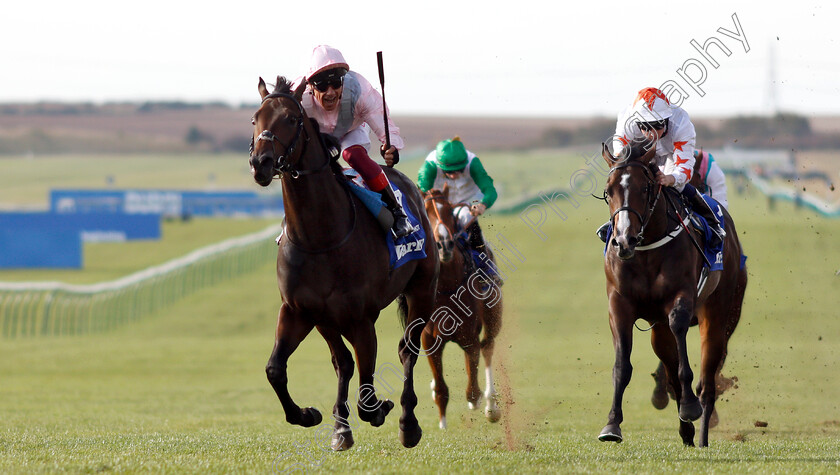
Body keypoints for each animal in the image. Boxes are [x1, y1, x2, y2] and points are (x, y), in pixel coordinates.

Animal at [249, 76, 440, 452]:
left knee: (408, 350)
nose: (260, 162)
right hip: (329, 320)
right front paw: (311, 416)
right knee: (345, 363)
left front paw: (380, 409)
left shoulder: (360, 317)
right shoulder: (301, 311)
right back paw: (342, 424)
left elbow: (367, 391)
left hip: (422, 291)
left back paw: (408, 423)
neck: (320, 238)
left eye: (291, 119)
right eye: (255, 118)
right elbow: (276, 369)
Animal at [424, 187, 502, 432]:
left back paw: (492, 407)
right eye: (425, 212)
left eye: (449, 211)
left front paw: (480, 402)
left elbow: (473, 391)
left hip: (494, 316)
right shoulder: (429, 338)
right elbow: (441, 387)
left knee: (488, 347)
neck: (447, 286)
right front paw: (442, 423)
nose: (444, 244)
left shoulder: (469, 336)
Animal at [600, 143, 744, 448]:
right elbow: (622, 366)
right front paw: (612, 424)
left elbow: (682, 346)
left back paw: (700, 434)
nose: (624, 240)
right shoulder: (619, 303)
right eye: (608, 191)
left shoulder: (681, 297)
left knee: (707, 383)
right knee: (671, 367)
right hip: (659, 331)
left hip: (719, 314)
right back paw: (686, 430)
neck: (645, 250)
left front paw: (689, 406)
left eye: (645, 188)